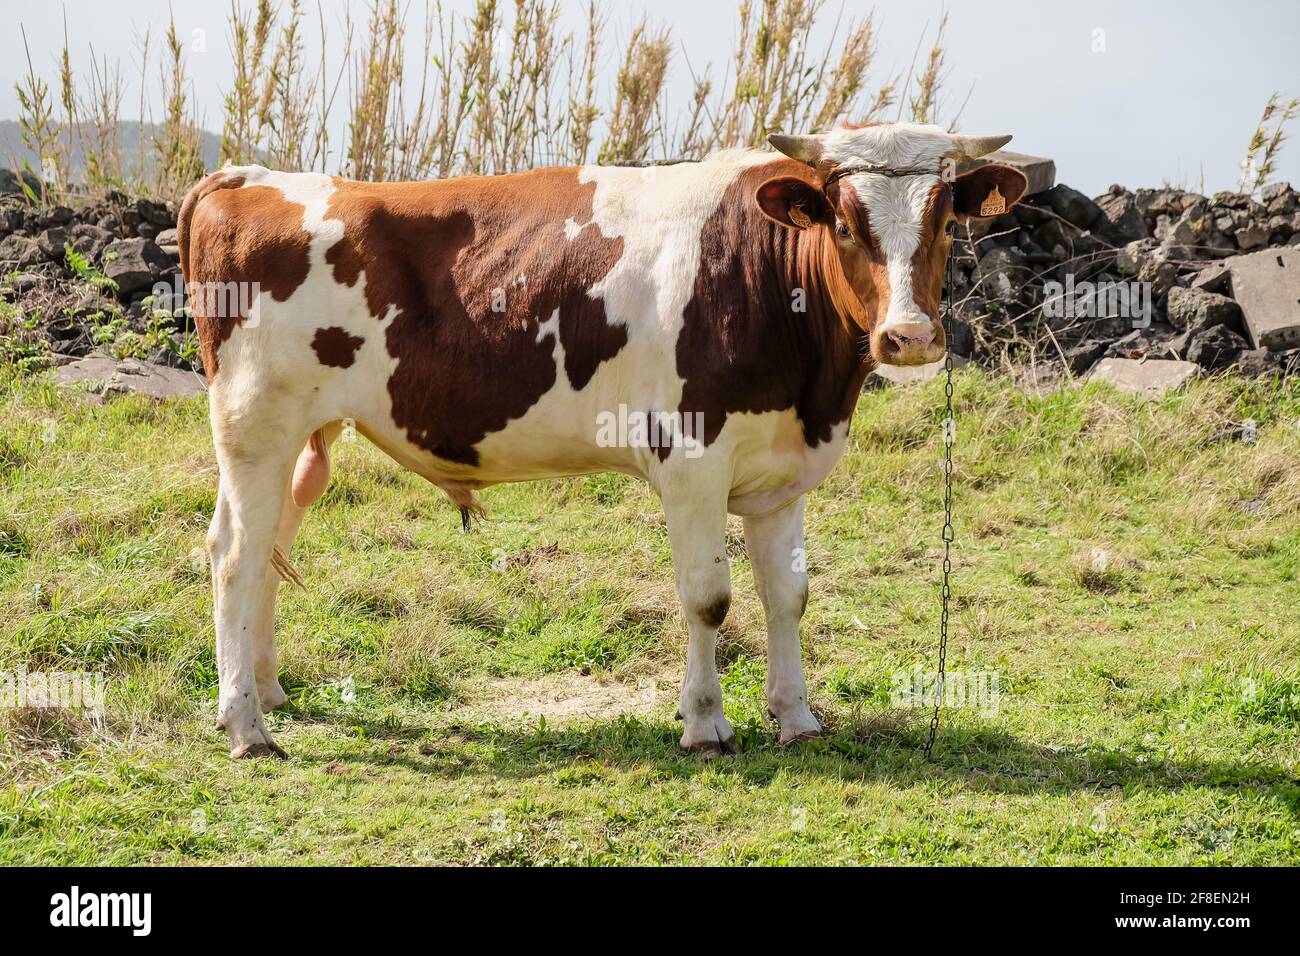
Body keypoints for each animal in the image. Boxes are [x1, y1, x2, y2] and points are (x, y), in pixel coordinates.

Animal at [177, 121, 1027, 759]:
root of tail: (247, 177)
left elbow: (788, 596)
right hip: (254, 426)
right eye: (845, 224)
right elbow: (709, 599)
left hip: (301, 437)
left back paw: (267, 689)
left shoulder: (778, 470)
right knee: (235, 555)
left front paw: (797, 718)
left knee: (269, 545)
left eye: (945, 222)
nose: (909, 337)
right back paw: (247, 726)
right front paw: (706, 724)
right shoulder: (691, 462)